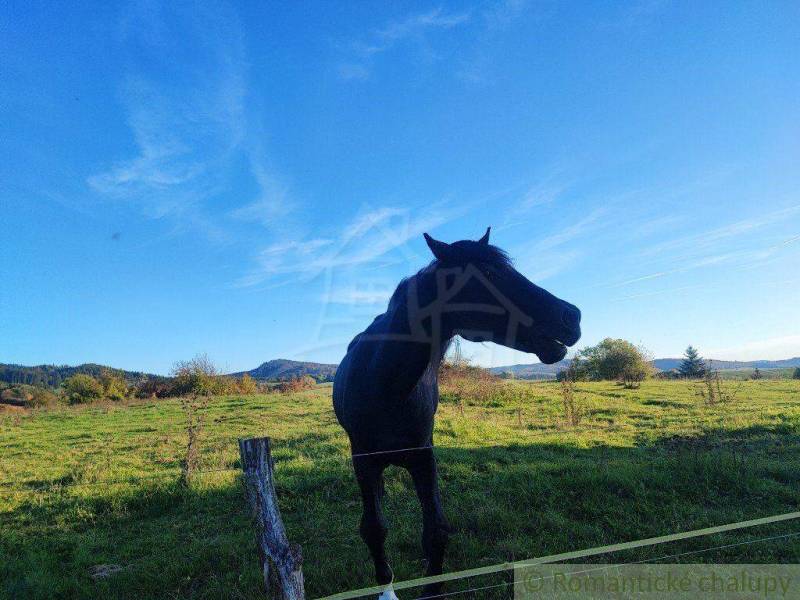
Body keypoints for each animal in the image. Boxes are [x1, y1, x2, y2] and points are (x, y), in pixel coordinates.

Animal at [332, 227, 580, 596]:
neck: (385, 384)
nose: (572, 316)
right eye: (489, 274)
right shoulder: (364, 460)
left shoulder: (423, 457)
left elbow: (435, 532)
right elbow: (374, 528)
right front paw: (387, 589)